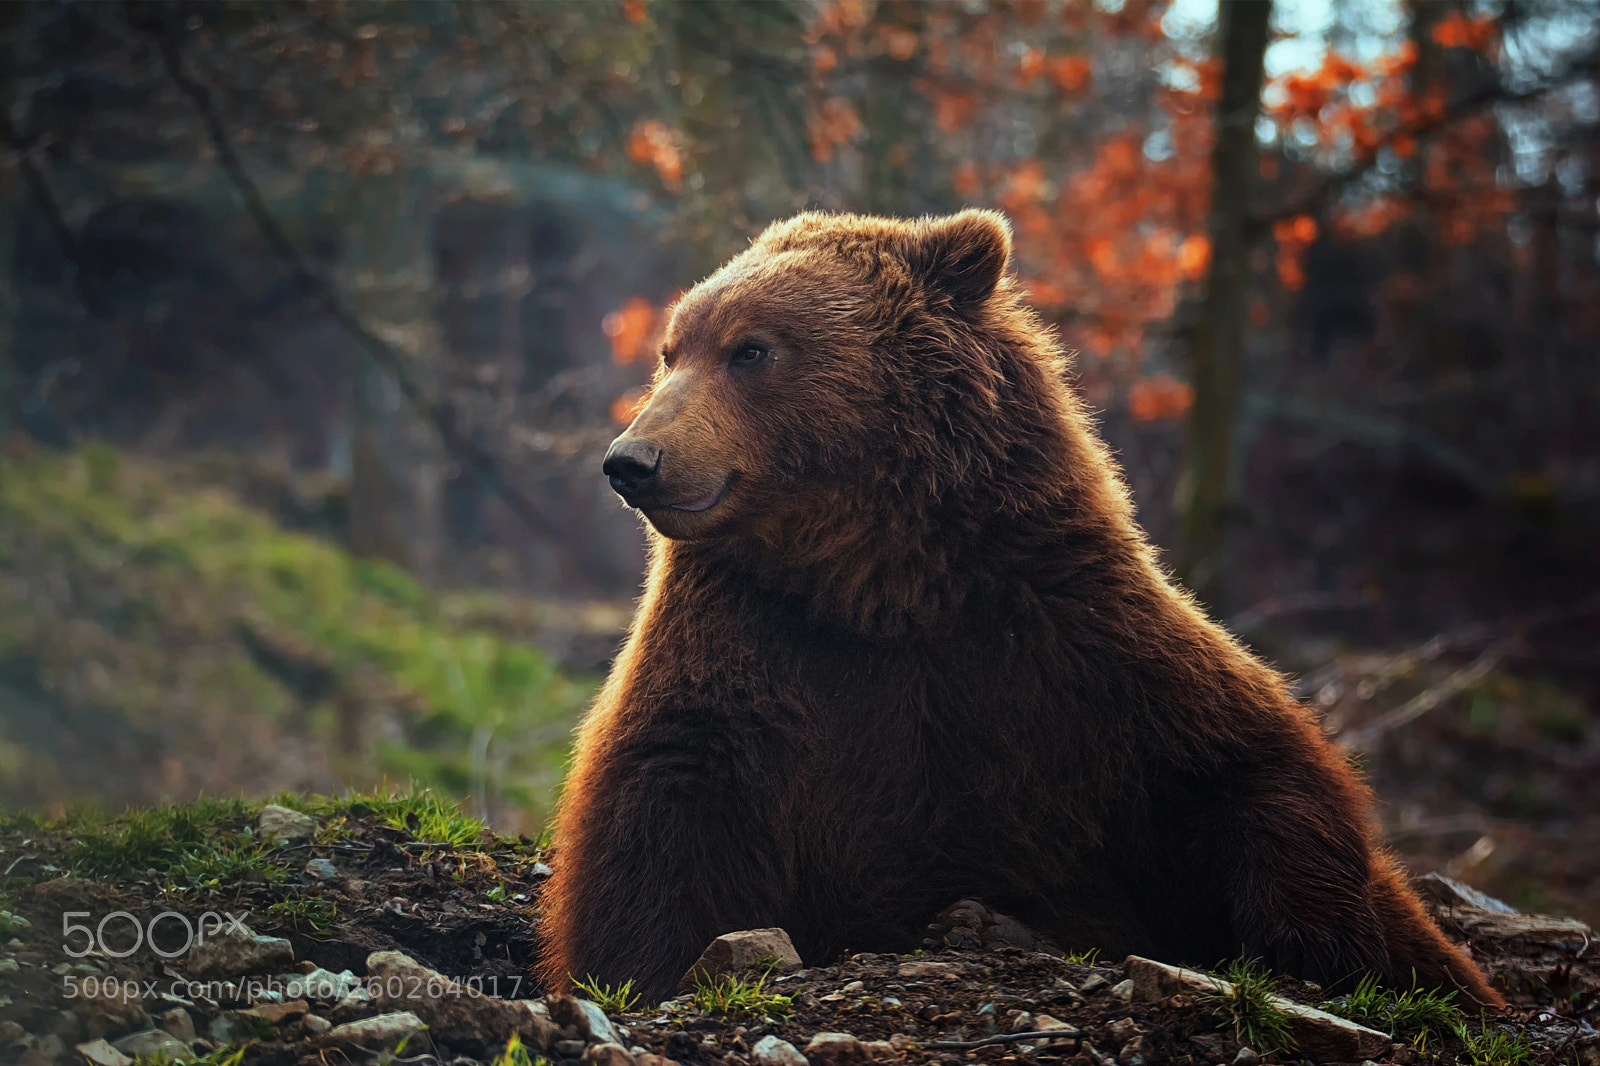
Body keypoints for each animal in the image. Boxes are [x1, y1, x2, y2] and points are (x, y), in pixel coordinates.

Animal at [535, 209, 1502, 1007]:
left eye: (751, 349)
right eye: (673, 349)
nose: (633, 460)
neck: (875, 580)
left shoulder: (1060, 634)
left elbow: (1248, 766)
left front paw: (1306, 945)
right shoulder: (750, 650)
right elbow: (657, 823)